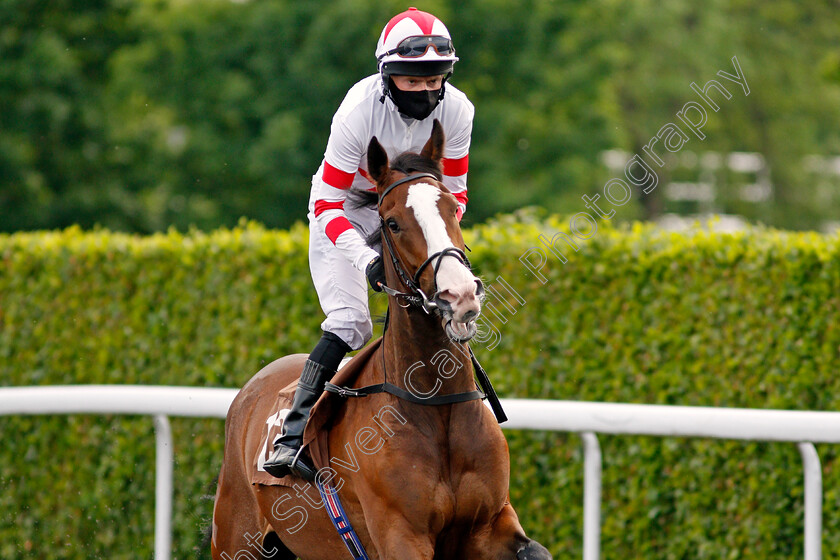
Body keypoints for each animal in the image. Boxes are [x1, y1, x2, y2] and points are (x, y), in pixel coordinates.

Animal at [210, 120, 552, 556]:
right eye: (392, 222)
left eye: (452, 209)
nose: (460, 295)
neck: (436, 403)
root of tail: (251, 389)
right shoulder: (400, 534)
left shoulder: (492, 524)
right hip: (236, 536)